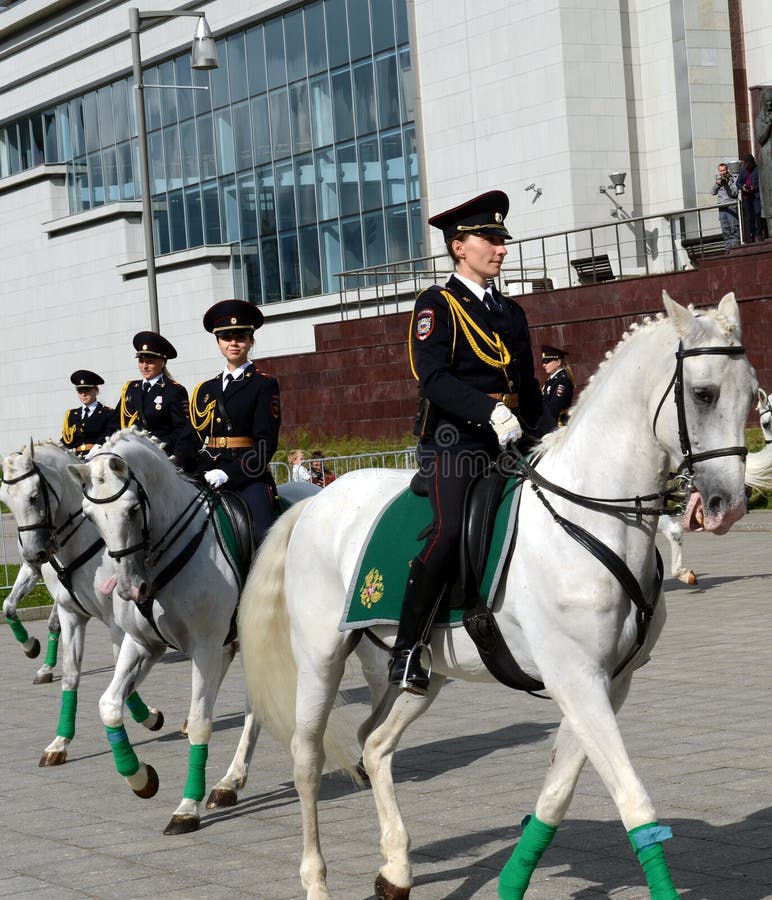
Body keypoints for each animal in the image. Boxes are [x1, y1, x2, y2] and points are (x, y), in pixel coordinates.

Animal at [0, 440, 164, 764]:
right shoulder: (70, 612)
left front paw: (147, 716)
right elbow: (71, 674)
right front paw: (59, 743)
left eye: (34, 496)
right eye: (5, 501)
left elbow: (122, 670)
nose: (32, 553)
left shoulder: (117, 621)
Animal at [237, 292, 752, 896]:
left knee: (374, 742)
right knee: (307, 758)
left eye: (752, 394)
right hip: (321, 658)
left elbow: (556, 794)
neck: (592, 517)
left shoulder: (608, 683)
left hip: (422, 671)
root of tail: (314, 500)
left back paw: (395, 866)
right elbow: (634, 802)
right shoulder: (578, 679)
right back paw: (316, 878)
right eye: (703, 393)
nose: (727, 506)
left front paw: (512, 881)